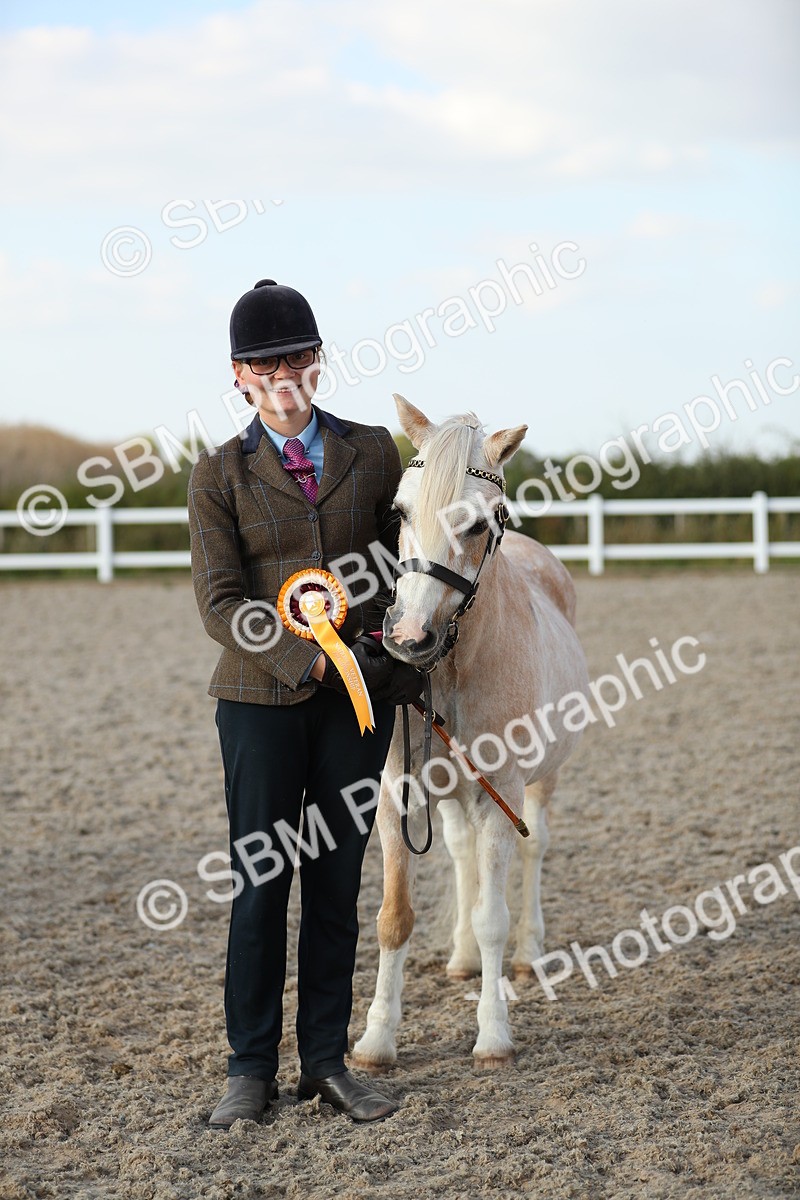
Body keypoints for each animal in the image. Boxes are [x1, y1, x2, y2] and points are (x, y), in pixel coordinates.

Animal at [352, 395, 589, 1069]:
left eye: (480, 524)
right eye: (400, 511)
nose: (409, 638)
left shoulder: (499, 792)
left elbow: (493, 918)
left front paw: (494, 1035)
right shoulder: (397, 795)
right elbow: (393, 917)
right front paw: (377, 1039)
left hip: (539, 781)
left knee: (534, 849)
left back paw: (530, 956)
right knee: (460, 855)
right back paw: (459, 959)